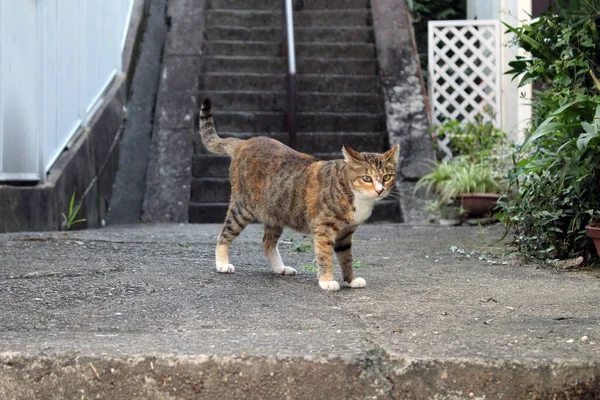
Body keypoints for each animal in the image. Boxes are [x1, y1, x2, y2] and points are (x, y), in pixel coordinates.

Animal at [199, 97, 400, 290]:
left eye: (387, 177)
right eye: (366, 178)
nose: (379, 190)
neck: (355, 195)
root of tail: (245, 142)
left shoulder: (345, 234)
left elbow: (346, 258)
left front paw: (350, 281)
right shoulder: (323, 228)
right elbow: (325, 256)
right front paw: (327, 281)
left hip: (276, 211)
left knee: (267, 242)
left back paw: (281, 268)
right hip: (243, 207)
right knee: (224, 233)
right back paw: (222, 264)